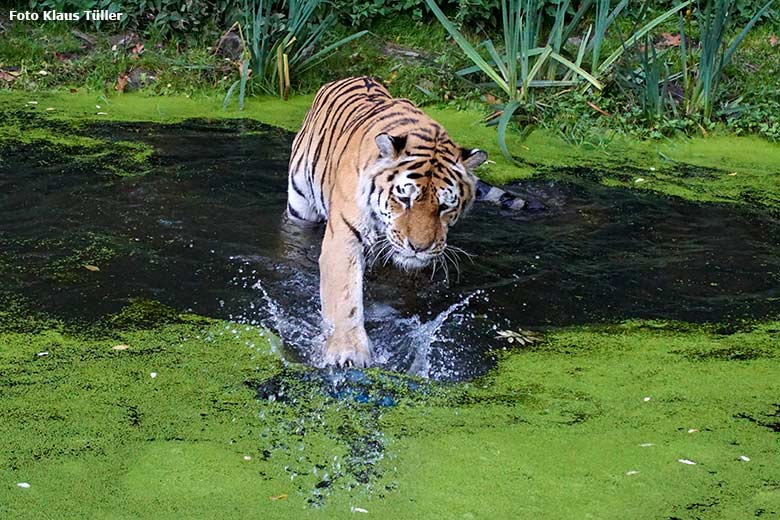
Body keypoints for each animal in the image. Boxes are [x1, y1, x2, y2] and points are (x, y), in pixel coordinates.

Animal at [286, 76, 524, 370]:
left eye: (445, 206)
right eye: (403, 199)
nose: (419, 248)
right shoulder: (344, 237)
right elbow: (345, 297)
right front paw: (347, 351)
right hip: (300, 206)